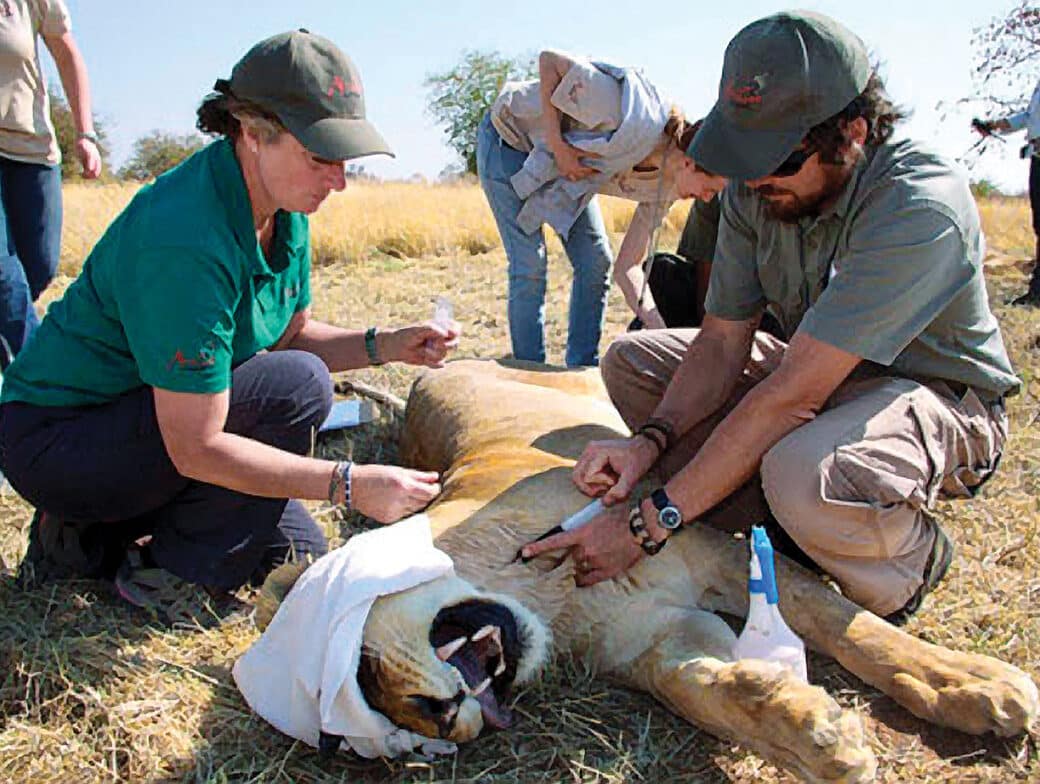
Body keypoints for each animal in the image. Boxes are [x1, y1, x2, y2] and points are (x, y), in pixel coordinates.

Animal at [255, 357, 1035, 777]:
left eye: (363, 672)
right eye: (403, 742)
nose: (446, 719)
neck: (542, 592)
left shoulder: (710, 544)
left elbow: (851, 628)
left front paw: (972, 684)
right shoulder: (662, 636)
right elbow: (701, 690)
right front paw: (806, 733)